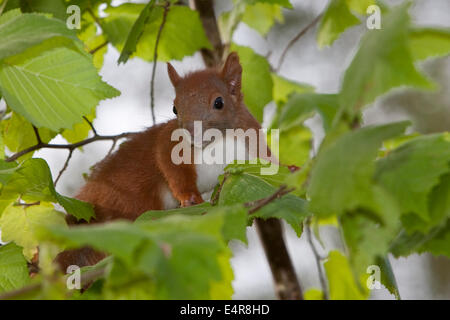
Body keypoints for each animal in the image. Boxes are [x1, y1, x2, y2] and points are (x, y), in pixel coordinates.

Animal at [56, 53, 274, 272]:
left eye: (219, 102)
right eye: (175, 108)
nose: (190, 132)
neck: (217, 141)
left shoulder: (255, 143)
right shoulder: (169, 143)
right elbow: (172, 167)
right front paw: (189, 196)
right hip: (132, 200)